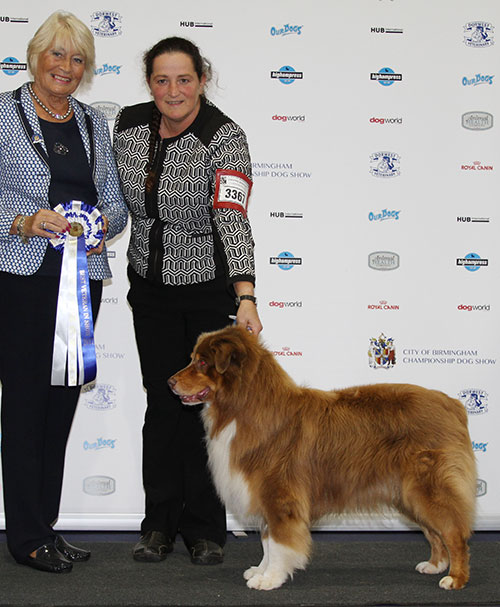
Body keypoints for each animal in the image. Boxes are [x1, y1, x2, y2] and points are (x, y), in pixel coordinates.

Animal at [169, 326, 476, 592]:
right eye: (193, 359)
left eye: (201, 362)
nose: (170, 381)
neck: (242, 406)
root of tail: (453, 405)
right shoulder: (266, 495)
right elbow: (268, 541)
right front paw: (261, 570)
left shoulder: (279, 495)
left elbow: (279, 542)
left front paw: (271, 578)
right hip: (408, 493)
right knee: (435, 532)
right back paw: (435, 565)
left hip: (428, 488)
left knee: (455, 533)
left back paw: (455, 578)